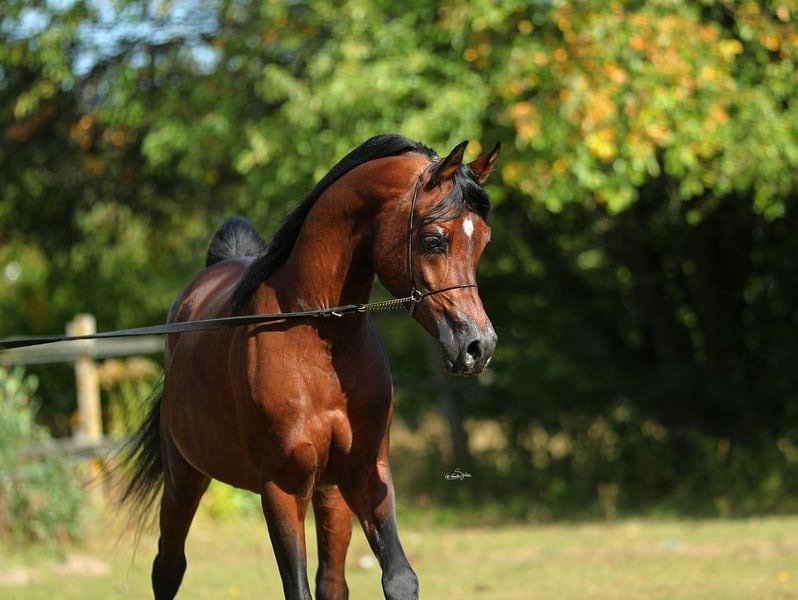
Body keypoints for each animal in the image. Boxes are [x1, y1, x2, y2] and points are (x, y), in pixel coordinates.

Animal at [121, 133, 500, 599]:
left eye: (482, 241)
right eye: (433, 240)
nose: (477, 346)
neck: (317, 341)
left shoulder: (365, 475)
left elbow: (398, 577)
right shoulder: (282, 488)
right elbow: (296, 586)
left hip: (329, 494)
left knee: (331, 581)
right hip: (184, 479)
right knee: (168, 567)